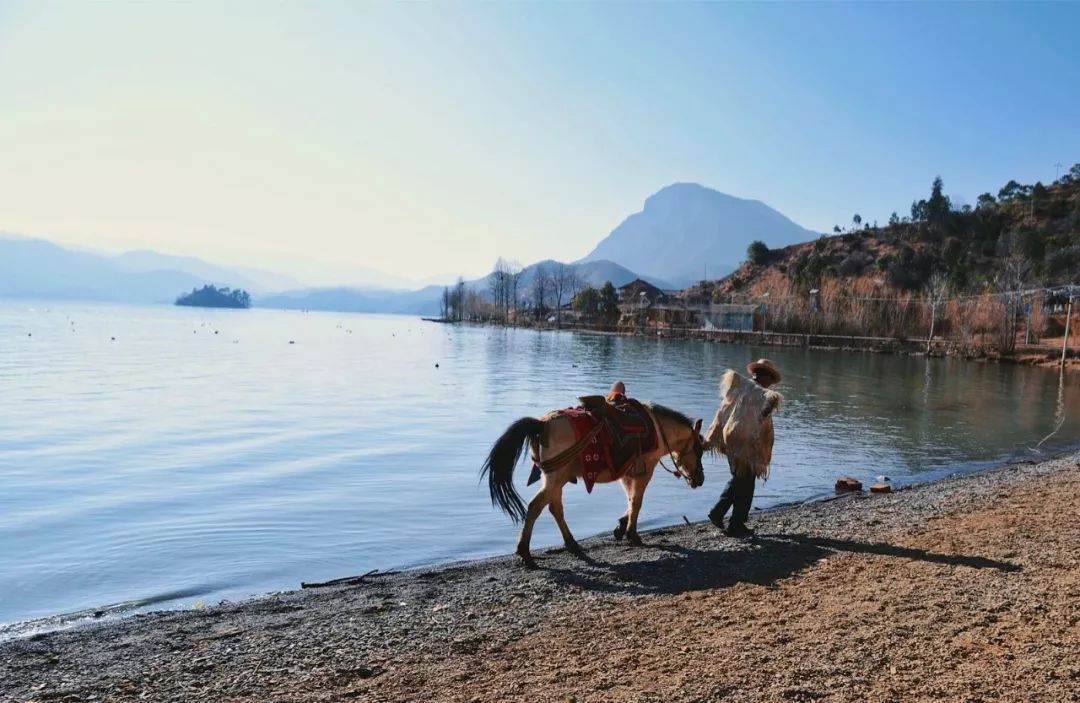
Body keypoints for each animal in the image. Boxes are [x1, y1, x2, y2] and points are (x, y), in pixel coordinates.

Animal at [479, 401, 699, 565]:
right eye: (700, 448)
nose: (699, 479)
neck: (658, 428)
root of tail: (542, 424)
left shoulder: (627, 473)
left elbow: (630, 500)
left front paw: (621, 526)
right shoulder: (644, 471)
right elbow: (636, 501)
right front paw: (632, 534)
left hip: (555, 478)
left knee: (554, 508)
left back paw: (570, 543)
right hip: (555, 478)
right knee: (536, 506)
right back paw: (524, 551)